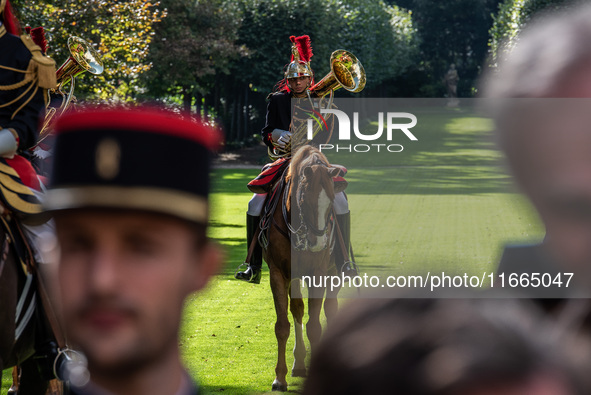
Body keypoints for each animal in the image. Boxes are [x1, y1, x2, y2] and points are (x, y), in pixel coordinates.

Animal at [262, 146, 346, 392]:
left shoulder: (318, 273)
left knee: (330, 308)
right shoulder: (279, 274)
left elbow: (315, 326)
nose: (318, 243)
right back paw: (299, 363)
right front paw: (279, 378)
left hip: (333, 272)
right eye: (303, 199)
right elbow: (283, 325)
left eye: (331, 201)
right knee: (297, 309)